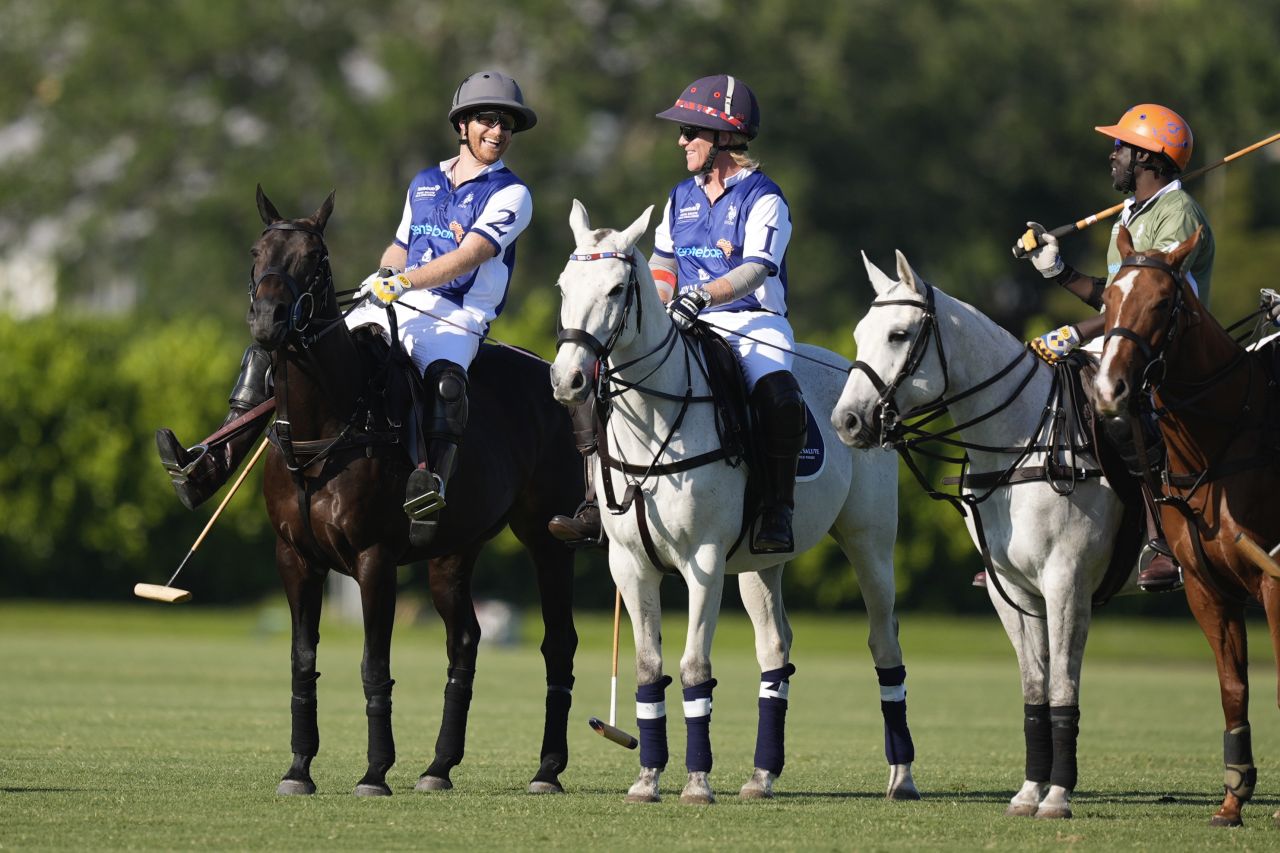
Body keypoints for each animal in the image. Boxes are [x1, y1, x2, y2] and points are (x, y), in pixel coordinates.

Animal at [245, 188, 586, 799]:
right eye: (257, 253)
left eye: (317, 259)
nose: (267, 322)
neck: (323, 428)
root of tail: (553, 374)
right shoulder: (295, 557)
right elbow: (302, 661)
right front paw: (298, 769)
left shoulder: (374, 557)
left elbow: (373, 665)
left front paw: (375, 772)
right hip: (454, 549)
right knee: (466, 640)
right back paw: (439, 766)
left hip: (548, 537)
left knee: (558, 643)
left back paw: (547, 769)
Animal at [552, 201, 921, 804]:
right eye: (564, 286)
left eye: (615, 289)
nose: (569, 379)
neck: (654, 421)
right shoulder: (628, 565)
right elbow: (649, 668)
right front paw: (647, 778)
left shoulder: (702, 559)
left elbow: (694, 666)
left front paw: (697, 782)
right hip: (758, 562)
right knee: (776, 650)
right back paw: (762, 775)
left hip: (870, 541)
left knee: (884, 643)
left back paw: (902, 777)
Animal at [829, 251, 1131, 819]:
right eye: (858, 333)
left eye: (899, 334)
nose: (847, 422)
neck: (1024, 442)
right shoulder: (1009, 589)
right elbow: (1035, 686)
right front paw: (1030, 792)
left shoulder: (1066, 582)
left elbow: (1063, 684)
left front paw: (1058, 797)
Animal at [1090, 224, 1280, 824]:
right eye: (1108, 298)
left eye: (1162, 302)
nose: (1109, 391)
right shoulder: (1206, 588)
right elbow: (1232, 687)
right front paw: (1233, 797)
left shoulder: (1275, 583)